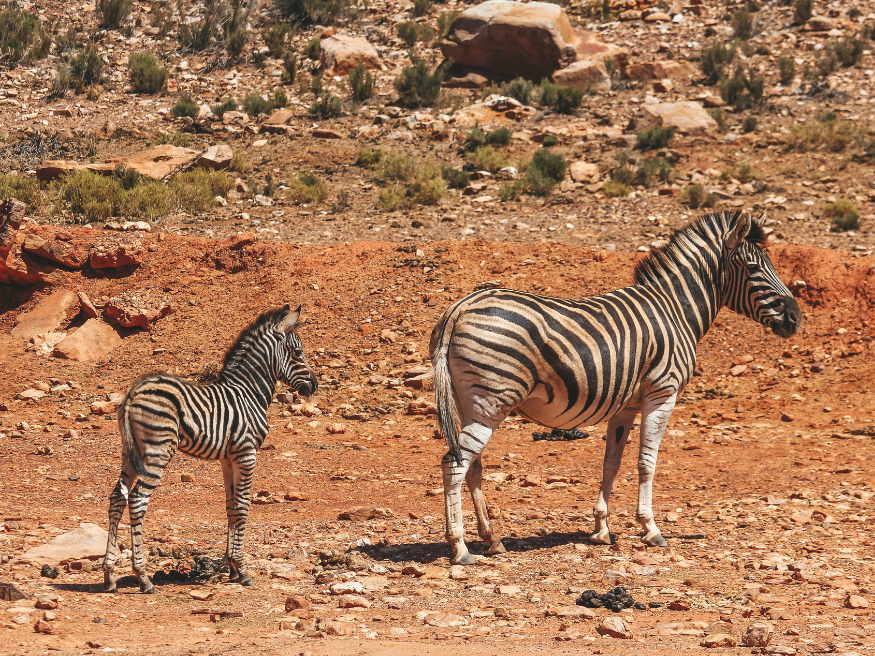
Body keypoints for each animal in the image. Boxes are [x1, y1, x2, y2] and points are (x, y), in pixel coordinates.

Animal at [103, 305, 317, 593]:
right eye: (297, 352)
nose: (314, 385)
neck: (248, 393)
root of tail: (134, 390)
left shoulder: (228, 458)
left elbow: (230, 506)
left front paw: (232, 568)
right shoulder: (247, 453)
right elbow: (243, 507)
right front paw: (243, 570)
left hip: (131, 451)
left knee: (118, 497)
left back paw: (109, 575)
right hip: (158, 450)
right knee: (137, 500)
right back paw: (144, 578)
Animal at [429, 210, 800, 565]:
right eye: (753, 267)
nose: (796, 318)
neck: (675, 310)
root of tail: (459, 307)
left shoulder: (627, 406)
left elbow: (612, 462)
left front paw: (601, 528)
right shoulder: (662, 393)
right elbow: (646, 462)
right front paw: (650, 528)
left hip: (469, 401)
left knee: (472, 466)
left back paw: (492, 540)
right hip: (493, 400)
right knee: (454, 464)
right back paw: (460, 548)